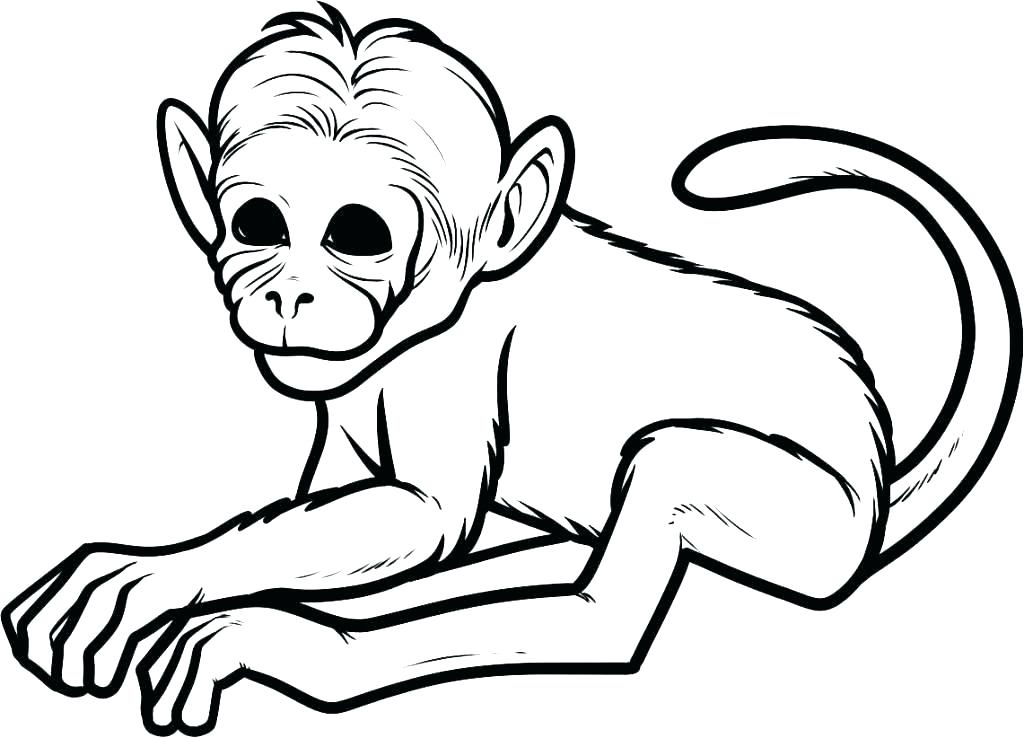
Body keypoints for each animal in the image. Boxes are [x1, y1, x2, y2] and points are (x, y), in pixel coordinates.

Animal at [3, 4, 1020, 735]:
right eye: (258, 224)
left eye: (356, 235)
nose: (289, 295)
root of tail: (878, 478)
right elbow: (338, 511)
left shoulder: (447, 367)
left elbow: (426, 515)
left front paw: (181, 584)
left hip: (810, 520)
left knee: (612, 591)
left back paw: (312, 650)